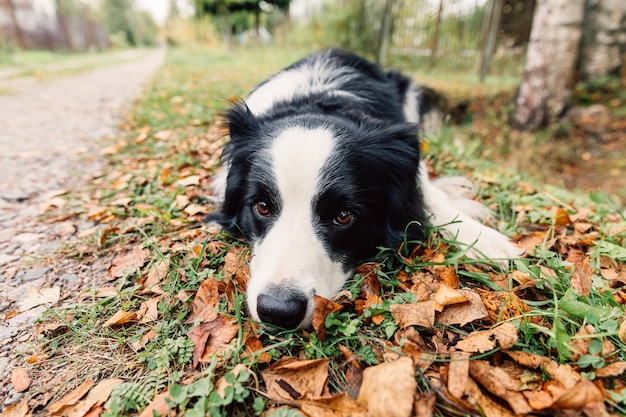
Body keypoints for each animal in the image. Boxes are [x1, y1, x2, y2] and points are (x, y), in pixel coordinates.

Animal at [207, 48, 520, 328]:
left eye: (344, 216)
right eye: (261, 206)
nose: (278, 311)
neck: (319, 102)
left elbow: (431, 195)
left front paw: (486, 239)